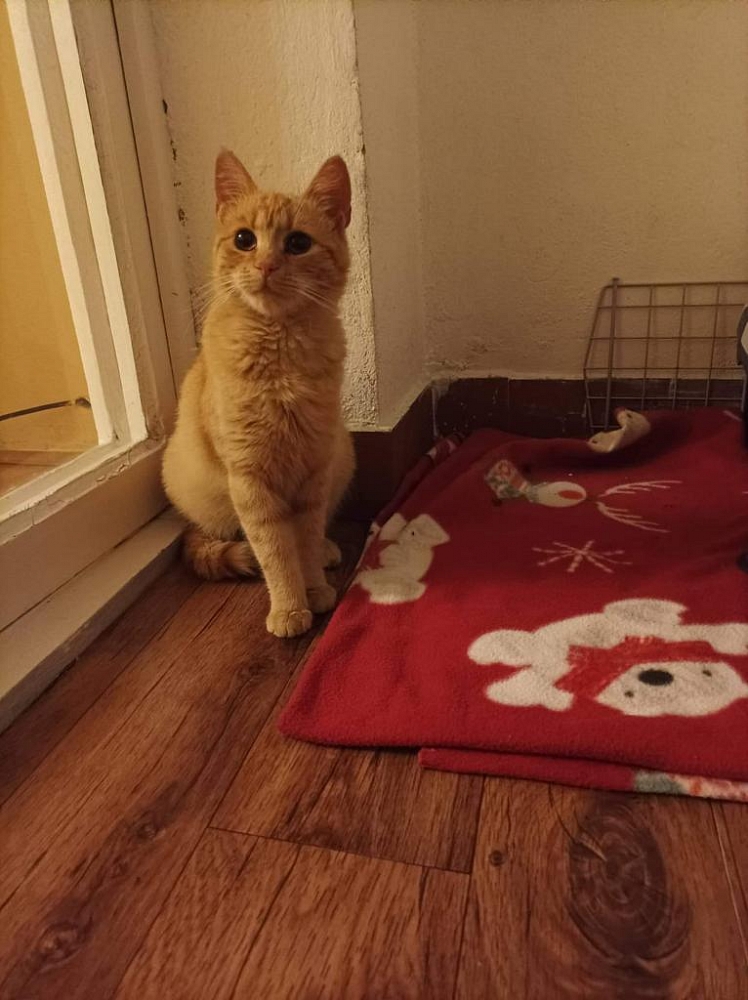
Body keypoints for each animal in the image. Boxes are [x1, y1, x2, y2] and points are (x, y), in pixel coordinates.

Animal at [162, 150, 355, 637]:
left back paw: (328, 550)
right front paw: (290, 606)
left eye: (299, 243)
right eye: (244, 239)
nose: (266, 265)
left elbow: (305, 540)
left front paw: (314, 587)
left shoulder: (314, 469)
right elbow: (275, 551)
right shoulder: (251, 480)